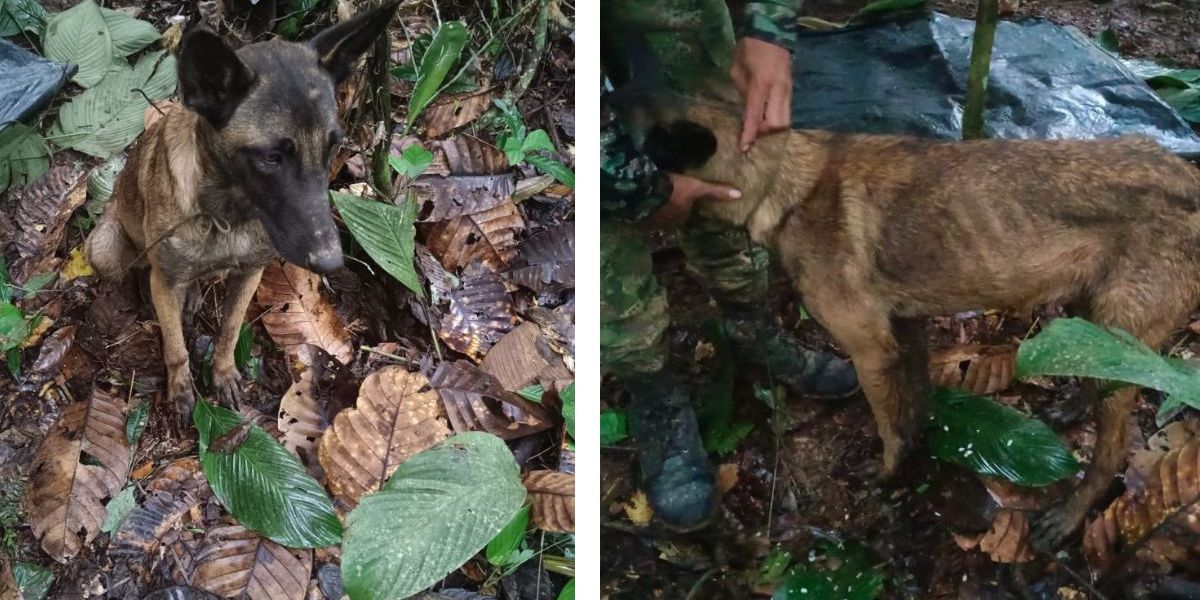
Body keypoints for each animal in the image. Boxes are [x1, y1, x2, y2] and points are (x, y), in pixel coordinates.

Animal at [87, 3, 403, 427]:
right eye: (271, 157)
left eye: (332, 147)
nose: (331, 261)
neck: (227, 213)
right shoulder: (167, 281)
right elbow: (176, 348)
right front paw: (182, 390)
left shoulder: (250, 273)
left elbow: (230, 330)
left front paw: (222, 374)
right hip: (105, 249)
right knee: (142, 268)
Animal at [638, 87, 1200, 549]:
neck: (785, 181)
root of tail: (1187, 173)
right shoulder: (904, 331)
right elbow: (913, 405)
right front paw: (918, 446)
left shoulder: (870, 349)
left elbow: (889, 426)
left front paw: (887, 475)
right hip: (1092, 317)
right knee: (1092, 365)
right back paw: (1072, 408)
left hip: (1122, 334)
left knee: (1112, 452)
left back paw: (1070, 514)